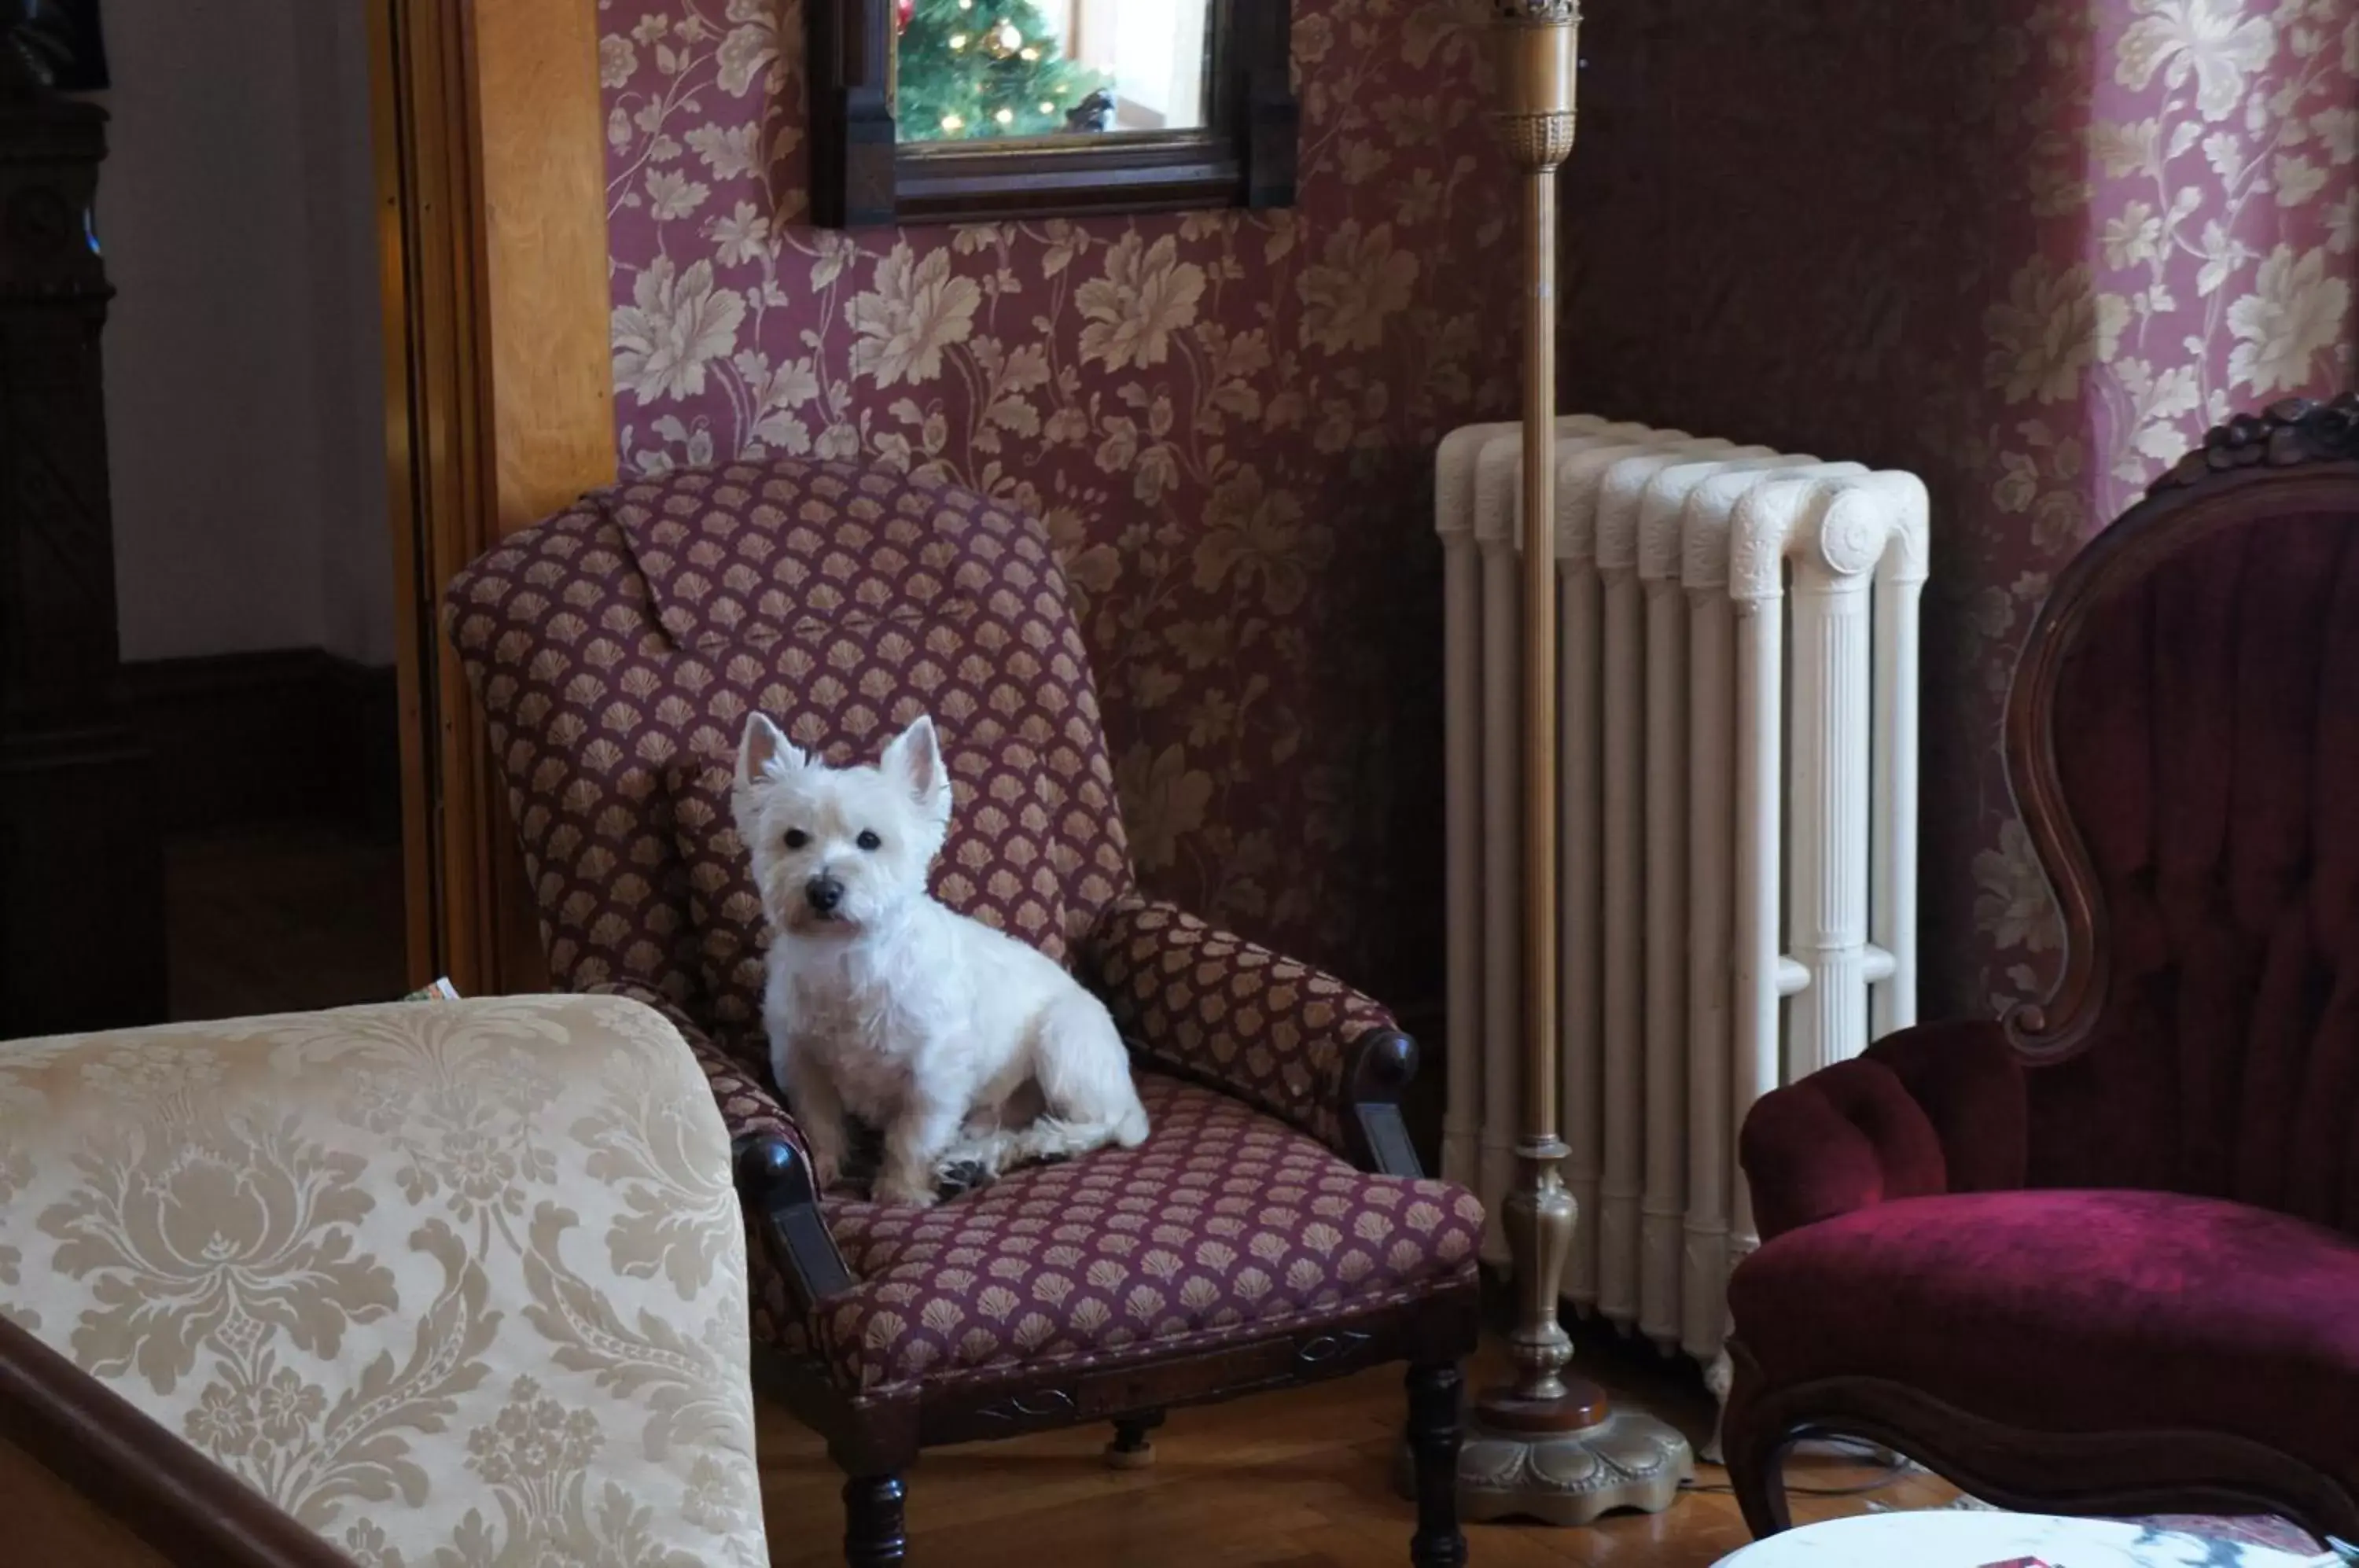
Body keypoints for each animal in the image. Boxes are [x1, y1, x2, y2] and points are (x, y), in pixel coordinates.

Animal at [731, 716, 1146, 1202]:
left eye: (869, 840)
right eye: (794, 838)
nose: (823, 890)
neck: (846, 957)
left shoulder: (934, 1073)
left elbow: (914, 1135)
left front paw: (901, 1192)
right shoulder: (801, 1060)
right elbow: (819, 1120)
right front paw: (826, 1167)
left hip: (1065, 1046)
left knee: (1098, 1123)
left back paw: (1041, 1146)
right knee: (1003, 1129)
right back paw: (972, 1161)